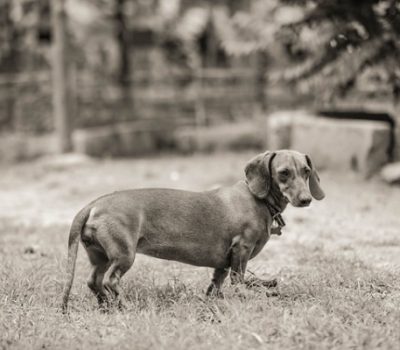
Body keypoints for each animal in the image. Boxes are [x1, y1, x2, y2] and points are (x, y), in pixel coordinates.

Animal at [62, 150, 324, 312]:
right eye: (284, 173)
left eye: (306, 171)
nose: (306, 200)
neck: (257, 199)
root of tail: (94, 204)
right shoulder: (241, 249)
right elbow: (238, 280)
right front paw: (247, 296)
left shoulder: (223, 262)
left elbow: (216, 283)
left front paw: (214, 301)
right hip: (124, 255)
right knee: (110, 280)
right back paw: (123, 306)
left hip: (101, 256)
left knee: (93, 281)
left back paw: (106, 307)